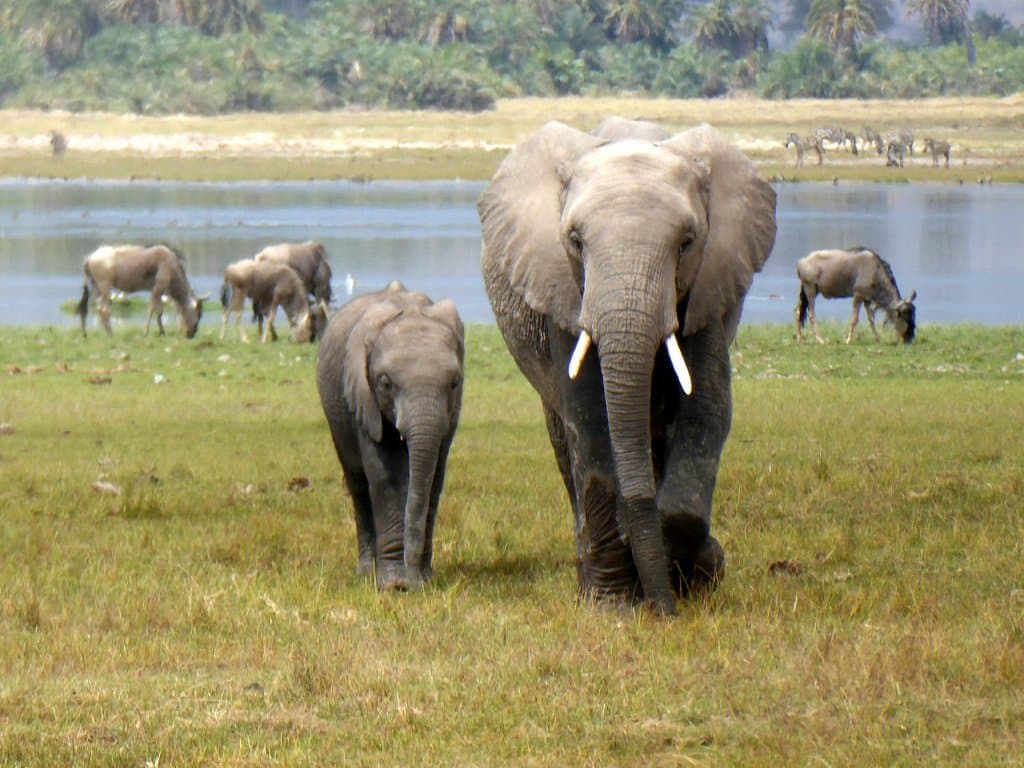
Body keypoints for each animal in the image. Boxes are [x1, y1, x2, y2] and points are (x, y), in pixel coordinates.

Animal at [317, 280, 466, 589]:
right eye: (385, 383)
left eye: (455, 383)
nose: (414, 583)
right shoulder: (363, 397)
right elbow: (387, 476)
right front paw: (394, 585)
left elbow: (433, 479)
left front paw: (424, 578)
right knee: (358, 486)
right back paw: (365, 572)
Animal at [479, 120, 774, 618]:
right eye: (576, 241)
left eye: (687, 243)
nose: (666, 614)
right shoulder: (564, 290)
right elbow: (591, 423)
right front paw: (615, 607)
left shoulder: (708, 289)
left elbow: (706, 411)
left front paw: (701, 574)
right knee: (567, 444)